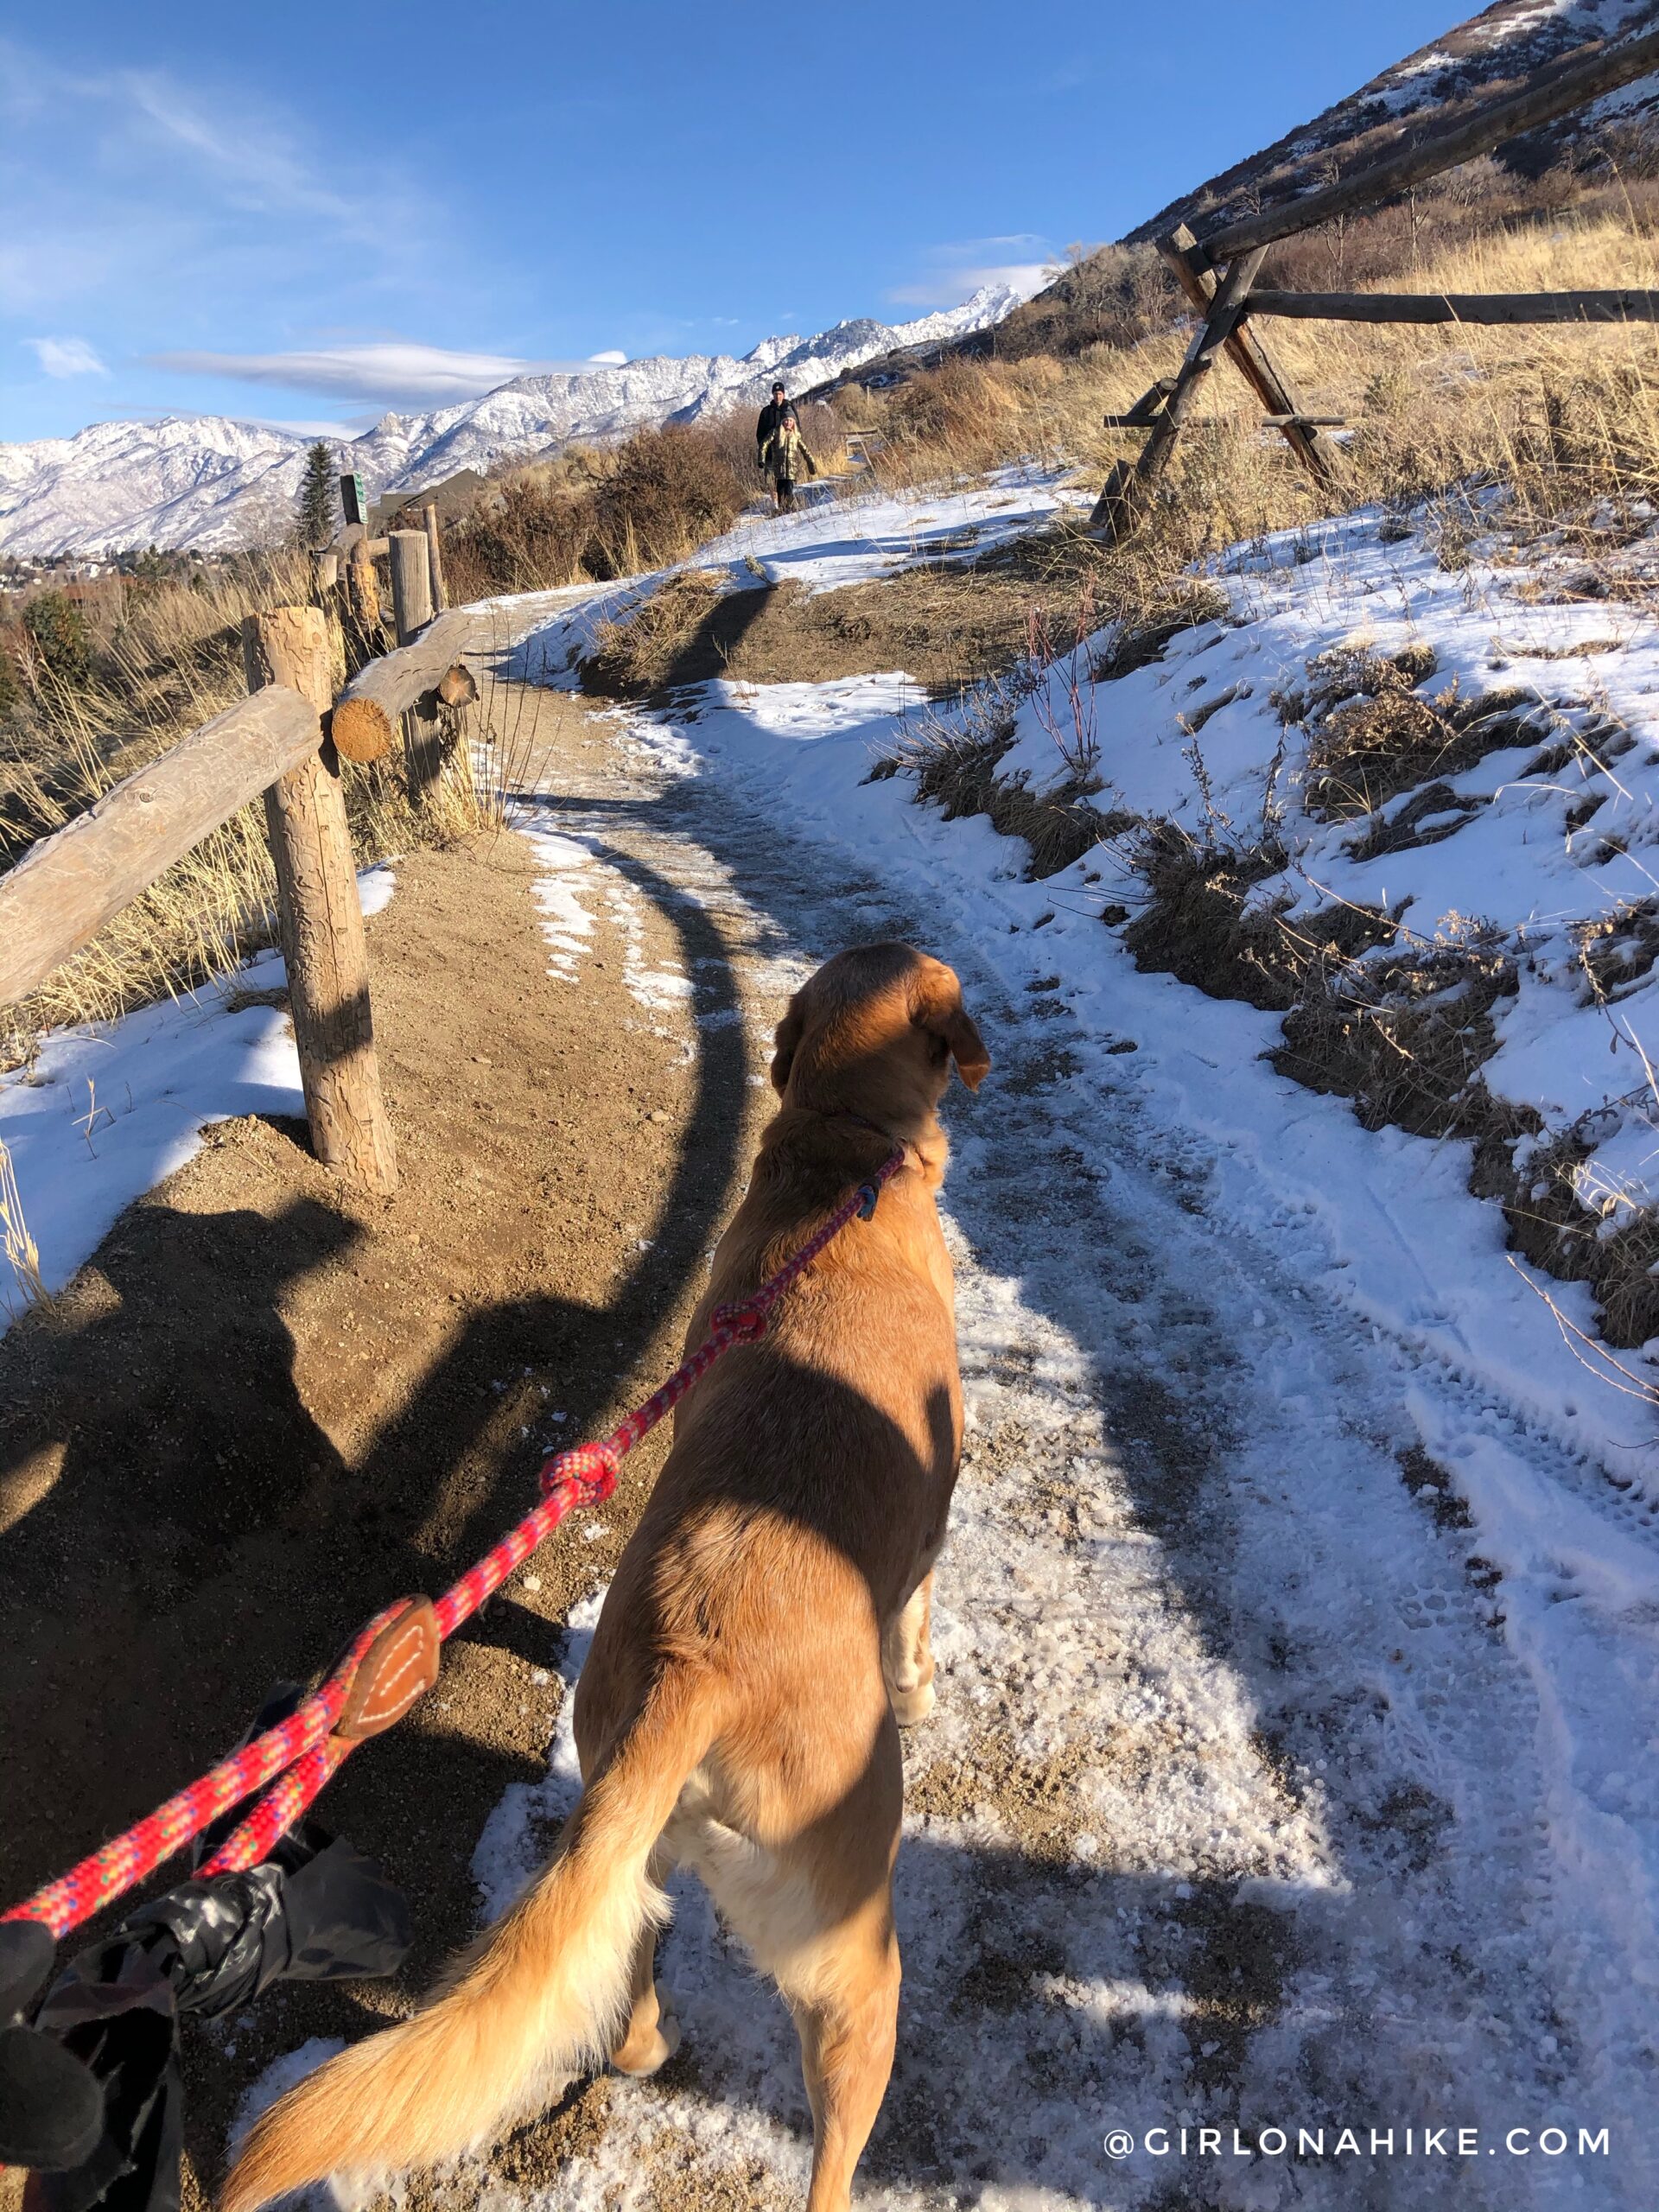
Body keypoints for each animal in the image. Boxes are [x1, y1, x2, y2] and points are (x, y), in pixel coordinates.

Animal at [219, 942, 986, 2212]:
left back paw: (647, 2040)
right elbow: (919, 1623)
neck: (841, 1157)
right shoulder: (927, 1538)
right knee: (834, 2124)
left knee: (620, 1991)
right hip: (849, 1953)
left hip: (629, 1848)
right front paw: (924, 1693)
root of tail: (698, 1672)